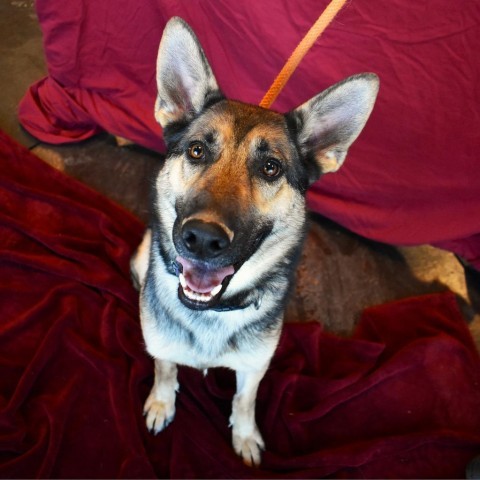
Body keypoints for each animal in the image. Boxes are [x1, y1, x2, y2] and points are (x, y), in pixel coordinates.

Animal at [132, 16, 378, 466]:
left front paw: (245, 435)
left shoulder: (254, 367)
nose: (202, 238)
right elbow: (165, 367)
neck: (212, 311)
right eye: (197, 150)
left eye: (270, 168)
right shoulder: (160, 344)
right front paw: (162, 400)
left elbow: (245, 400)